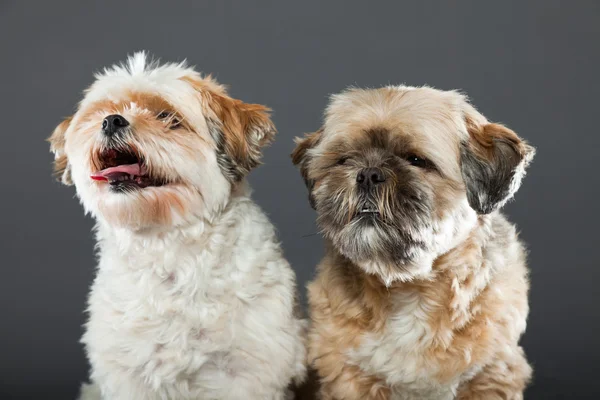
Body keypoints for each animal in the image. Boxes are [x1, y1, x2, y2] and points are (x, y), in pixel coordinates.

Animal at [49, 52, 308, 396]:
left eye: (167, 116)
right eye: (103, 112)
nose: (112, 121)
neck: (168, 247)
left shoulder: (247, 373)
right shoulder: (128, 374)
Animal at [290, 87, 536, 400]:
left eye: (416, 160)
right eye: (345, 159)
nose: (368, 174)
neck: (410, 287)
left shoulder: (492, 373)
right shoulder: (348, 376)